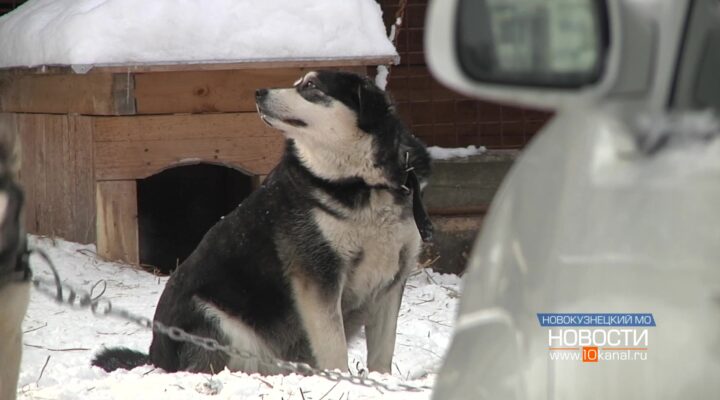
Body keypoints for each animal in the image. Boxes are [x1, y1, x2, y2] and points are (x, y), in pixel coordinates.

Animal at [95, 71, 434, 376]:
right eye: (300, 83)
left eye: (311, 86)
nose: (259, 92)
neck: (361, 182)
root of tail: (155, 357)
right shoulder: (318, 277)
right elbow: (333, 346)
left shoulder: (392, 281)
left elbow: (382, 353)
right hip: (220, 324)